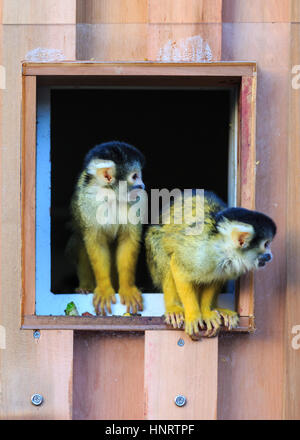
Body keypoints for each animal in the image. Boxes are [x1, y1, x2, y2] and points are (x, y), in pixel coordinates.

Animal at [68, 139, 148, 314]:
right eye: (135, 176)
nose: (142, 185)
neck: (111, 195)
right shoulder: (89, 202)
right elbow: (96, 242)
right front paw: (104, 289)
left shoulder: (136, 201)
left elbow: (128, 240)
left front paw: (127, 289)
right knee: (79, 240)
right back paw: (86, 286)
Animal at [145, 191, 276, 338]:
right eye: (266, 244)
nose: (270, 255)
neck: (223, 250)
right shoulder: (198, 252)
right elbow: (178, 266)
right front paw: (193, 314)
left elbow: (215, 279)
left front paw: (206, 312)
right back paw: (173, 307)